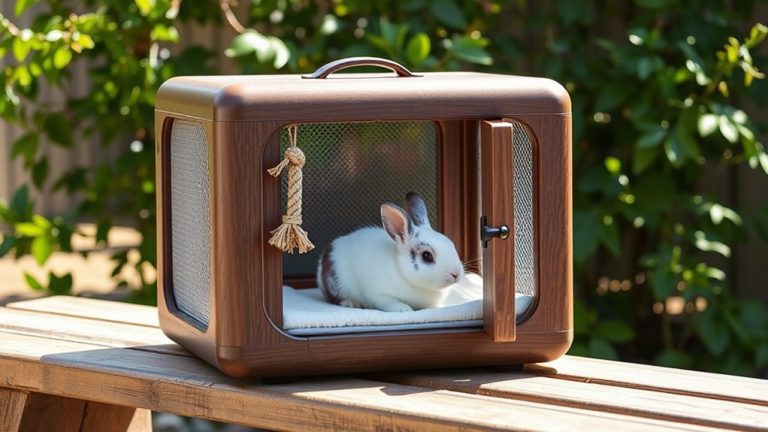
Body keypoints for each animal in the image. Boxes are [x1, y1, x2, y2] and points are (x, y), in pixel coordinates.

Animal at [317, 192, 465, 312]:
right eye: (427, 256)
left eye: (451, 244)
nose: (456, 274)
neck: (401, 269)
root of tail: (322, 261)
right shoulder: (380, 295)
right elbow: (390, 302)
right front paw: (404, 309)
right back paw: (351, 303)